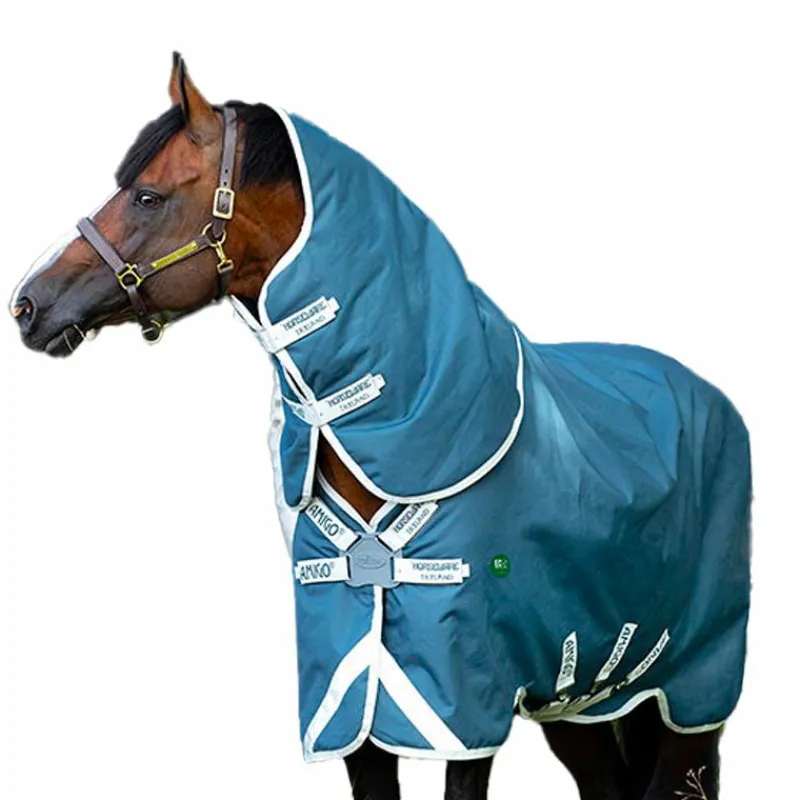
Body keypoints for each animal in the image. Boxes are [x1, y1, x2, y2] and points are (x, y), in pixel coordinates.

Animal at [11, 54, 750, 800]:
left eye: (148, 196)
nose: (28, 305)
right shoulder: (350, 704)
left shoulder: (465, 706)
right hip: (582, 699)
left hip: (692, 689)